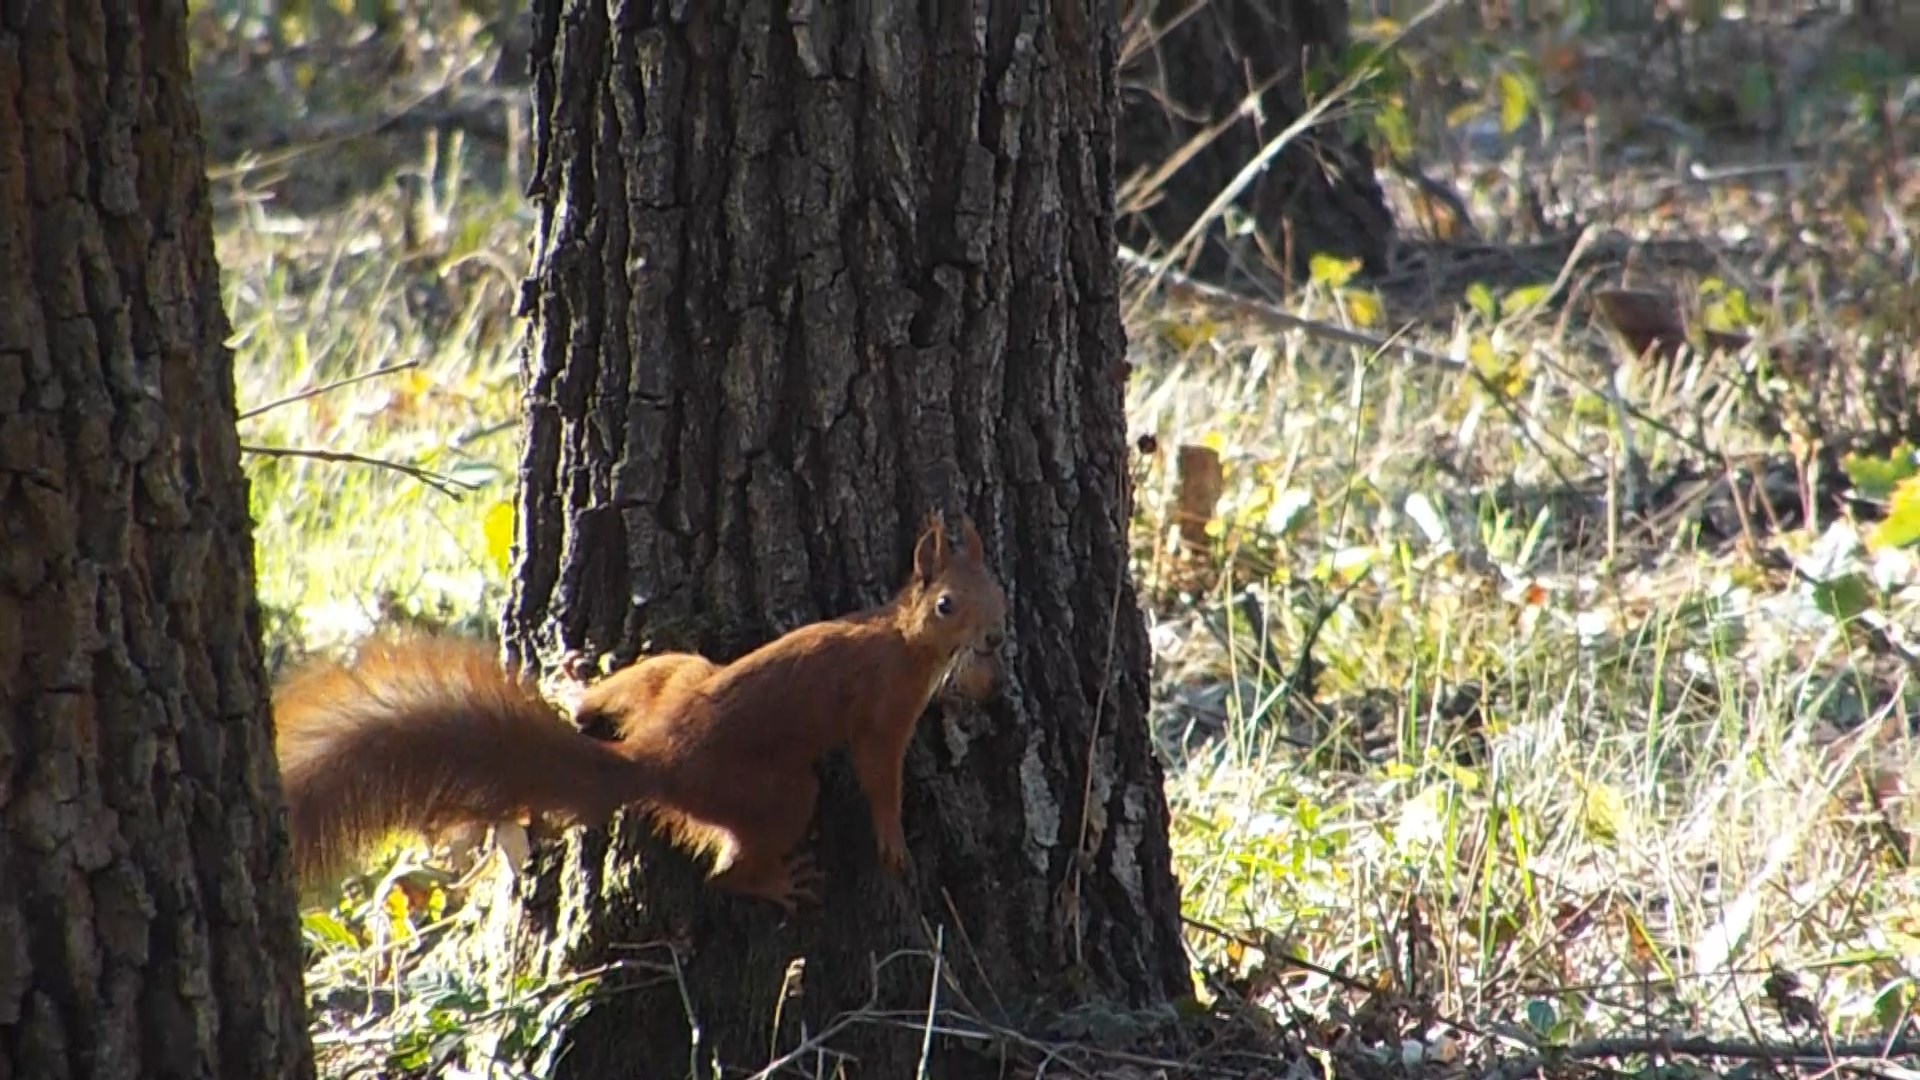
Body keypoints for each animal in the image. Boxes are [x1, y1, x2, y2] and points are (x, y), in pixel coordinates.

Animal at [271, 512, 1008, 912]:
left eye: (996, 584)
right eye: (947, 604)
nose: (997, 635)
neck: (902, 638)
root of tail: (653, 758)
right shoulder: (884, 710)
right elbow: (879, 775)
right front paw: (893, 843)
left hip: (676, 670)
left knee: (623, 690)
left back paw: (575, 690)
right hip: (774, 792)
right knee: (729, 868)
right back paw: (776, 884)